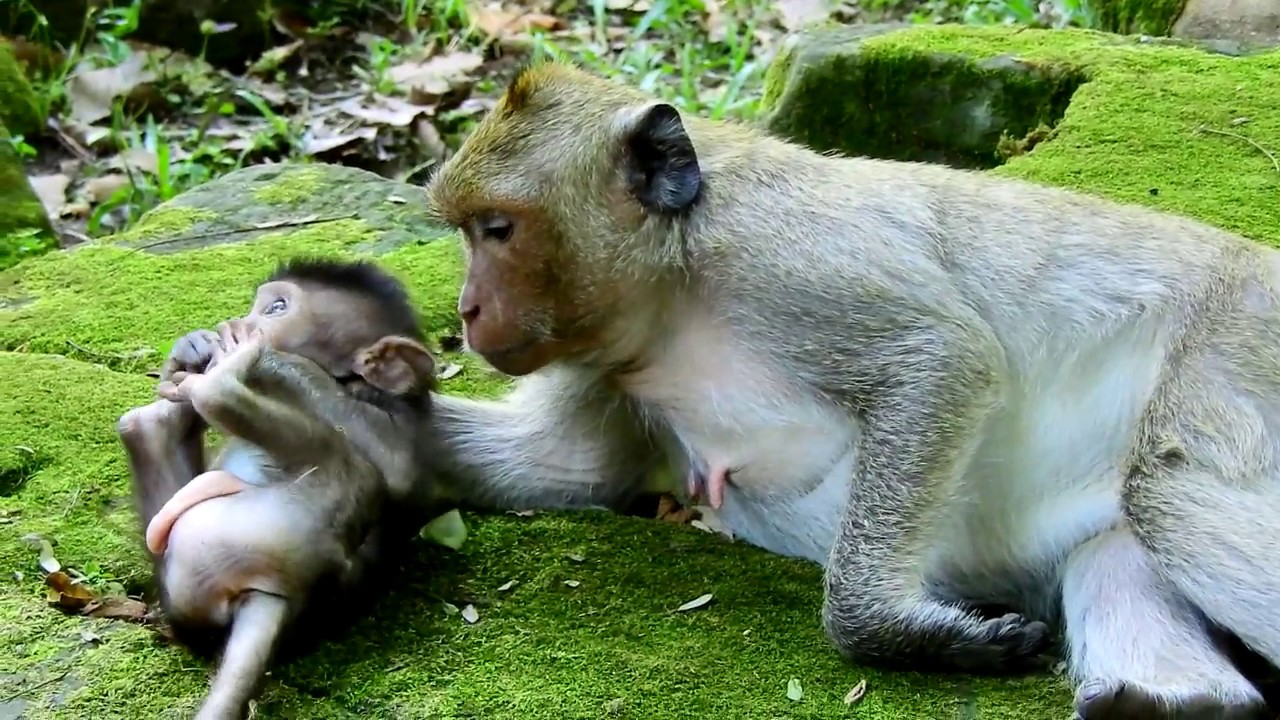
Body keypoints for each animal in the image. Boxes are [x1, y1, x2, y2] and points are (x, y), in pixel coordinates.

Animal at [115, 258, 443, 720]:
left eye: (276, 308)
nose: (232, 323)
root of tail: (276, 594)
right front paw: (192, 348)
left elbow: (399, 470)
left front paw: (261, 356)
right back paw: (156, 424)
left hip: (283, 522)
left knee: (356, 468)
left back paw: (219, 384)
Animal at [413, 60, 1280, 720]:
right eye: (466, 232)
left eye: (497, 230)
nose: (468, 308)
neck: (678, 283)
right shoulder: (607, 362)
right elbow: (564, 469)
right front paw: (373, 401)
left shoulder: (784, 258)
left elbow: (939, 359)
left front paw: (896, 630)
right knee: (1119, 546)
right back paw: (1181, 702)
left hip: (1240, 345)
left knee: (1168, 494)